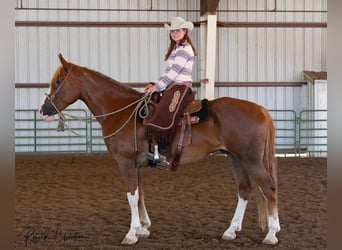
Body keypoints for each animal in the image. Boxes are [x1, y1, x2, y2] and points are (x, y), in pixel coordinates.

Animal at [39, 53, 280, 246]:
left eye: (58, 81)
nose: (43, 110)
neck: (121, 111)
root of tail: (260, 109)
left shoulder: (125, 162)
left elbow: (131, 195)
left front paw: (131, 234)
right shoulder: (136, 164)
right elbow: (140, 195)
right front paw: (143, 228)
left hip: (250, 160)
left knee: (268, 188)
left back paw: (271, 234)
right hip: (235, 158)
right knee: (244, 190)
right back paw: (231, 231)